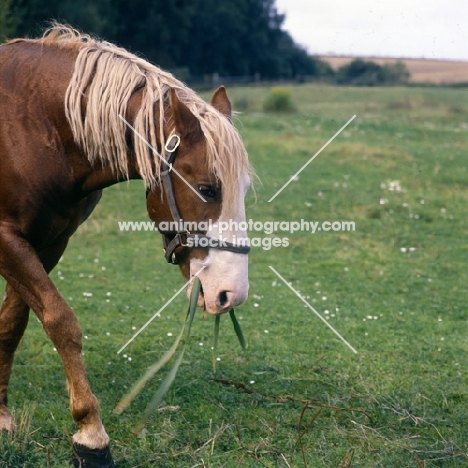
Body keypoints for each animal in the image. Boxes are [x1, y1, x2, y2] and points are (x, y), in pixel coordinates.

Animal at [0, 25, 252, 468]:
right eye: (207, 189)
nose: (232, 292)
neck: (36, 124)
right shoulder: (7, 236)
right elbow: (61, 321)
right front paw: (91, 434)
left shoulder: (48, 241)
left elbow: (13, 322)